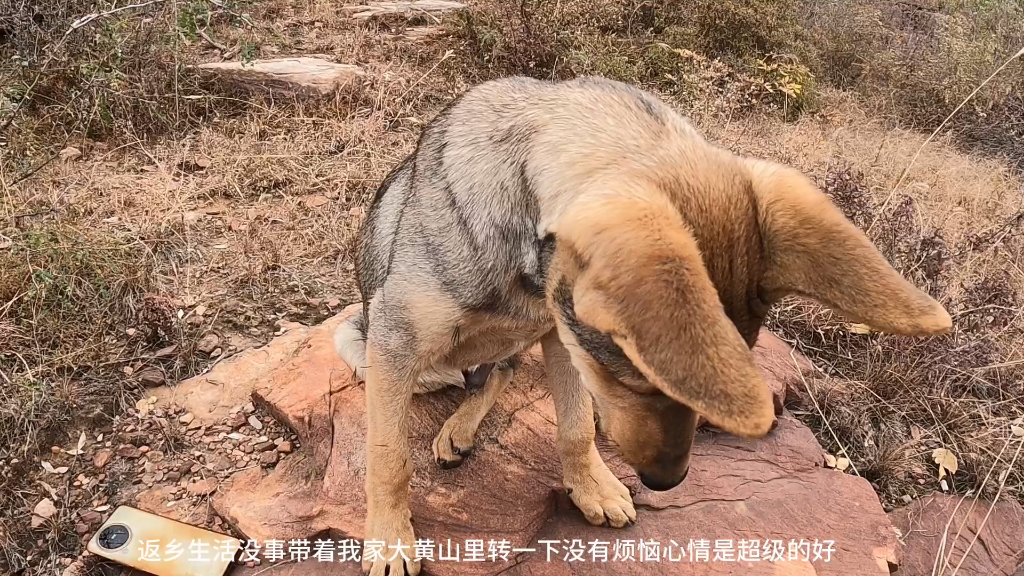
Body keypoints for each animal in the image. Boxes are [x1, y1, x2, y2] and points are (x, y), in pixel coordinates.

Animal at [335, 76, 950, 573]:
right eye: (635, 380)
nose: (667, 483)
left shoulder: (560, 335)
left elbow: (575, 427)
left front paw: (591, 486)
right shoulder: (397, 341)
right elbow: (389, 458)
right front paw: (389, 540)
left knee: (499, 374)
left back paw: (463, 428)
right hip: (362, 341)